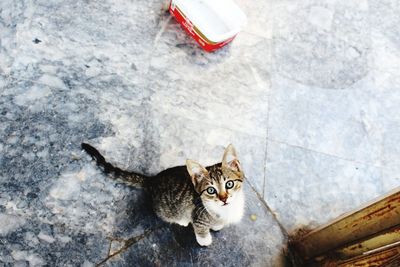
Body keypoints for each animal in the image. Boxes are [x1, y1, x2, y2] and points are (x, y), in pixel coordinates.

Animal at [80, 144, 244, 247]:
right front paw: (204, 240)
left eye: (229, 184)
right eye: (211, 190)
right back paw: (182, 220)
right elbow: (200, 228)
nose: (224, 199)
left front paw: (217, 225)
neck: (225, 210)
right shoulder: (198, 215)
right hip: (166, 209)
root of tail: (153, 180)